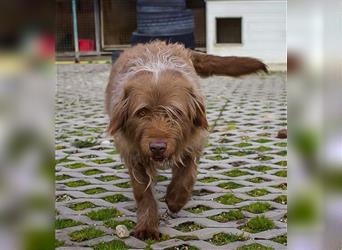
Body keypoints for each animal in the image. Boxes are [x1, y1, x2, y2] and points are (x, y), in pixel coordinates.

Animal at [105, 41, 268, 240]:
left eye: (175, 113)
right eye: (142, 113)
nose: (157, 147)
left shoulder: (193, 144)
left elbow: (186, 176)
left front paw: (175, 200)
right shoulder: (134, 154)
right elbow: (143, 192)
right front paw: (148, 226)